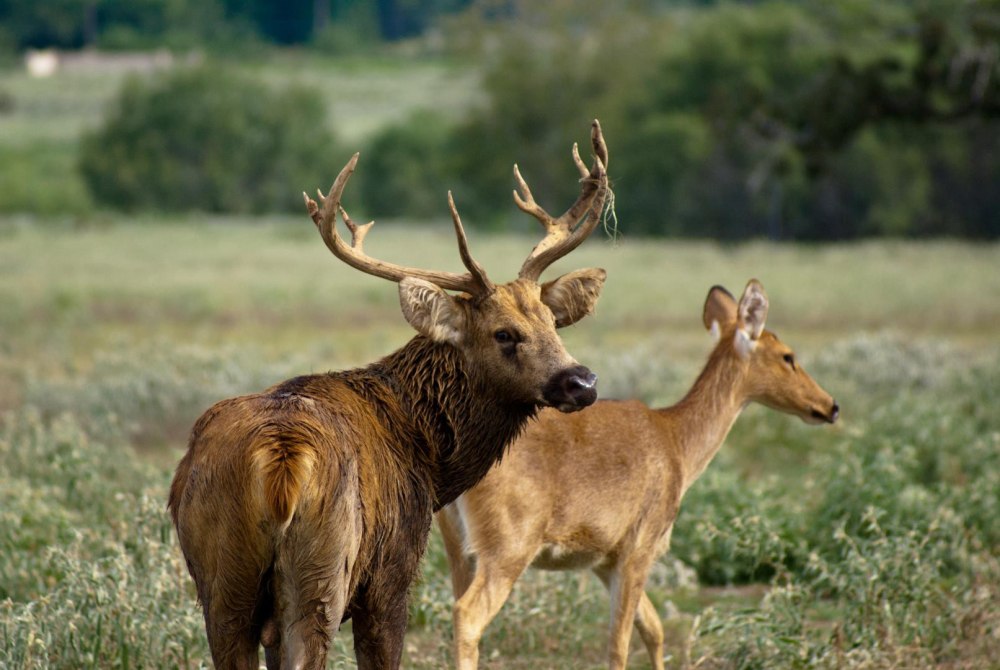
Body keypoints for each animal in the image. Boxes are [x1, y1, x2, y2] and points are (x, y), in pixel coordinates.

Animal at [166, 122, 608, 670]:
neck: (430, 460)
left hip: (224, 579)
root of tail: (281, 459)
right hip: (325, 570)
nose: (581, 381)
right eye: (504, 333)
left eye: (551, 321)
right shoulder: (392, 576)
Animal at [438, 280, 836, 668]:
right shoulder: (639, 548)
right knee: (467, 615)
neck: (676, 441)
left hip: (460, 551)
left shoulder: (604, 558)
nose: (830, 406)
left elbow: (653, 628)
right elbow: (620, 645)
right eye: (788, 356)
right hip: (508, 548)